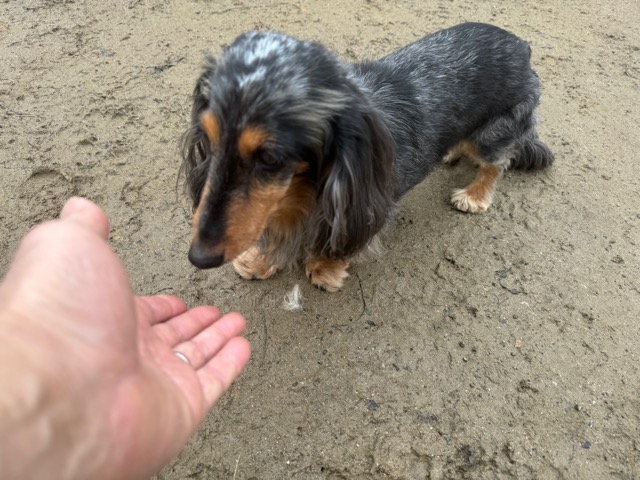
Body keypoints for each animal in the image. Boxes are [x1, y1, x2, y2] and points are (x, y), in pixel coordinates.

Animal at [181, 22, 553, 292]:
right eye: (209, 139)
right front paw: (260, 260)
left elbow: (338, 239)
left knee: (497, 162)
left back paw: (474, 195)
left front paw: (325, 267)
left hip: (494, 132)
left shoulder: (365, 204)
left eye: (270, 157)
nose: (198, 257)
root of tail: (521, 45)